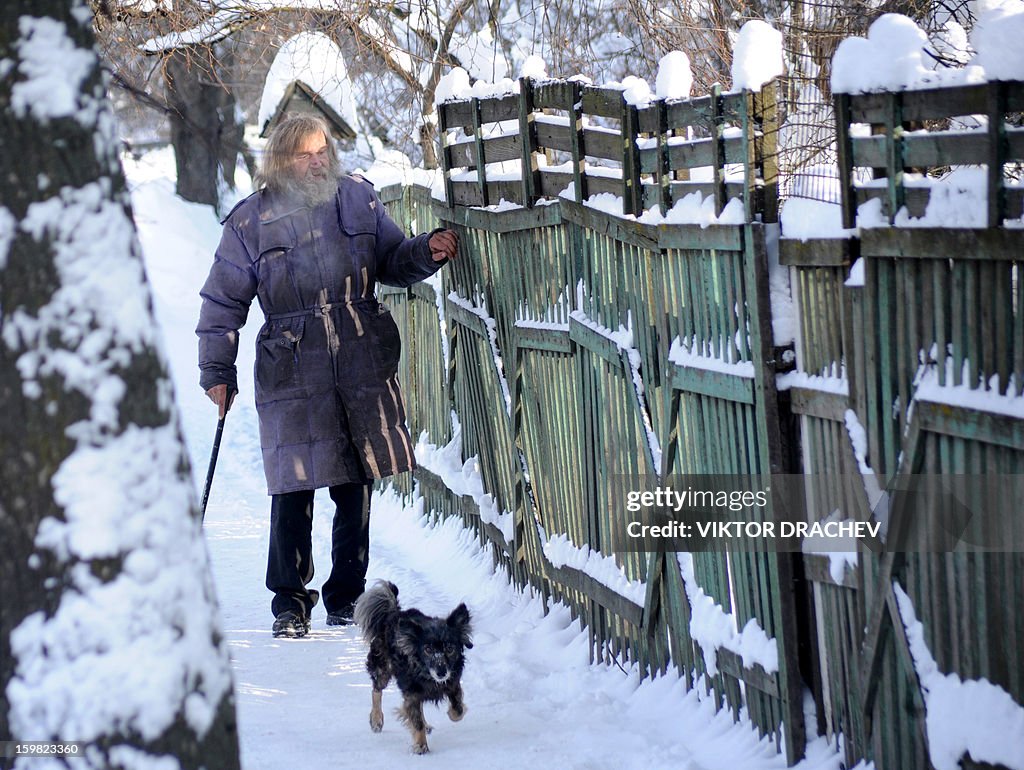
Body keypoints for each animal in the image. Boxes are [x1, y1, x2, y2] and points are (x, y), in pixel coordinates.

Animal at [354, 581, 473, 753]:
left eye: (450, 648)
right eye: (428, 649)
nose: (441, 672)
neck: (428, 675)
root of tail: (393, 613)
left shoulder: (453, 683)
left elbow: (458, 710)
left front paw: (452, 713)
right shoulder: (411, 691)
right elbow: (416, 721)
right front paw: (420, 745)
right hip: (382, 668)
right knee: (376, 690)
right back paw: (376, 720)